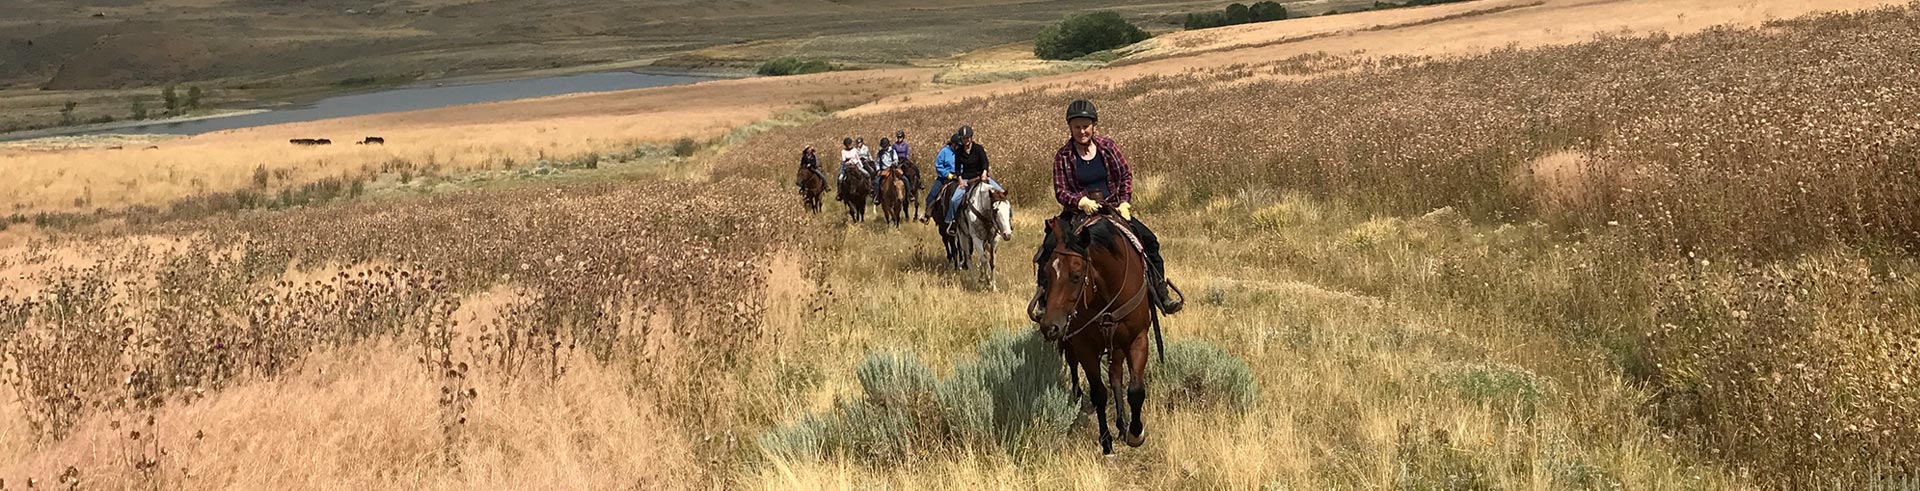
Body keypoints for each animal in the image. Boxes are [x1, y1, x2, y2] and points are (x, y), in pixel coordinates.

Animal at [1044, 212, 1159, 454]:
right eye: (1047, 272)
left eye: (1076, 275)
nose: (1049, 327)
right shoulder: (1084, 345)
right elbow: (1098, 393)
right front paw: (1106, 442)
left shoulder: (1137, 338)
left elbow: (1135, 390)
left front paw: (1135, 433)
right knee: (1074, 364)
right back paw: (1077, 397)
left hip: (1116, 344)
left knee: (1116, 375)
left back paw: (1122, 424)